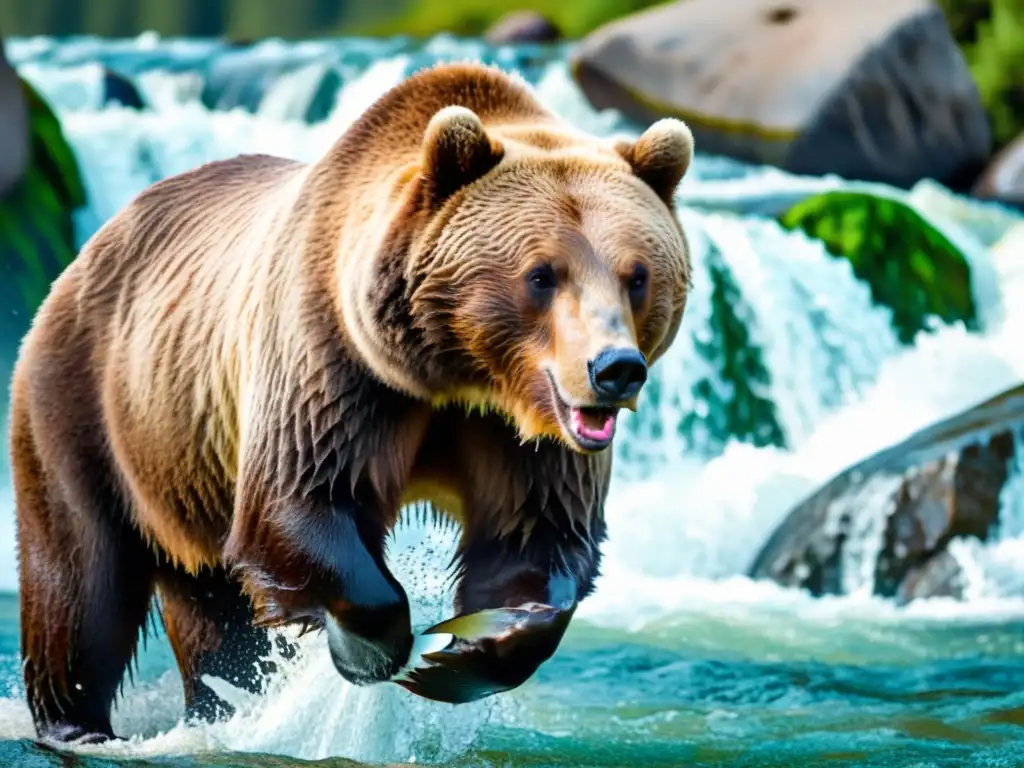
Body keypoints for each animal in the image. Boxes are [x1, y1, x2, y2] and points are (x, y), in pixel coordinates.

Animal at [8, 61, 692, 745]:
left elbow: (537, 533)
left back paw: (219, 707)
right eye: (541, 275)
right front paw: (378, 651)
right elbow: (302, 499)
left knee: (210, 613)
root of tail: (91, 247)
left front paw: (461, 651)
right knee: (81, 581)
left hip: (180, 459)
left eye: (637, 276)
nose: (614, 369)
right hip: (85, 403)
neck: (454, 370)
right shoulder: (335, 361)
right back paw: (77, 723)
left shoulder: (524, 432)